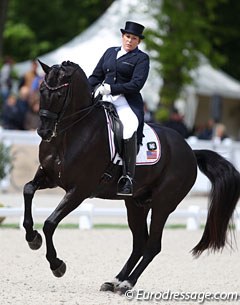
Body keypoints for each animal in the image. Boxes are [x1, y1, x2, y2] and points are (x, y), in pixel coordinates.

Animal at [23, 61, 240, 292]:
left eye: (59, 94)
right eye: (41, 90)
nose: (43, 132)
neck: (69, 135)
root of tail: (190, 151)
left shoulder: (79, 190)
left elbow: (50, 223)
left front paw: (57, 265)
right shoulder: (49, 177)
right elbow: (28, 189)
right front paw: (32, 237)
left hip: (163, 204)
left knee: (152, 245)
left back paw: (127, 283)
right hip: (136, 204)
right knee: (139, 243)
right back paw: (115, 281)